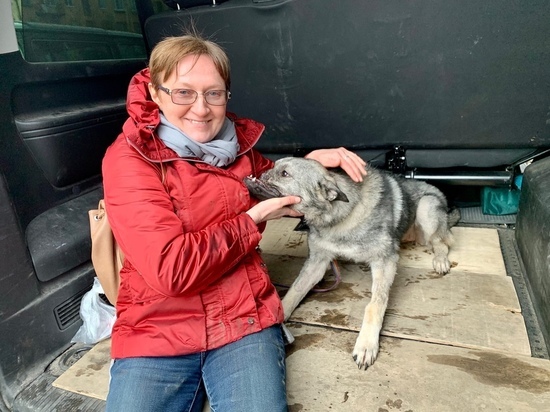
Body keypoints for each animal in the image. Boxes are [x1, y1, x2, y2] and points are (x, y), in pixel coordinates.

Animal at [246, 158, 462, 370]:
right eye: (274, 165)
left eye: (284, 173)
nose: (262, 171)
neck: (340, 216)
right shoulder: (317, 262)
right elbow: (294, 291)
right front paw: (278, 315)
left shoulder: (385, 261)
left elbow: (375, 304)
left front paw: (366, 344)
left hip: (427, 207)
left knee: (441, 241)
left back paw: (440, 260)